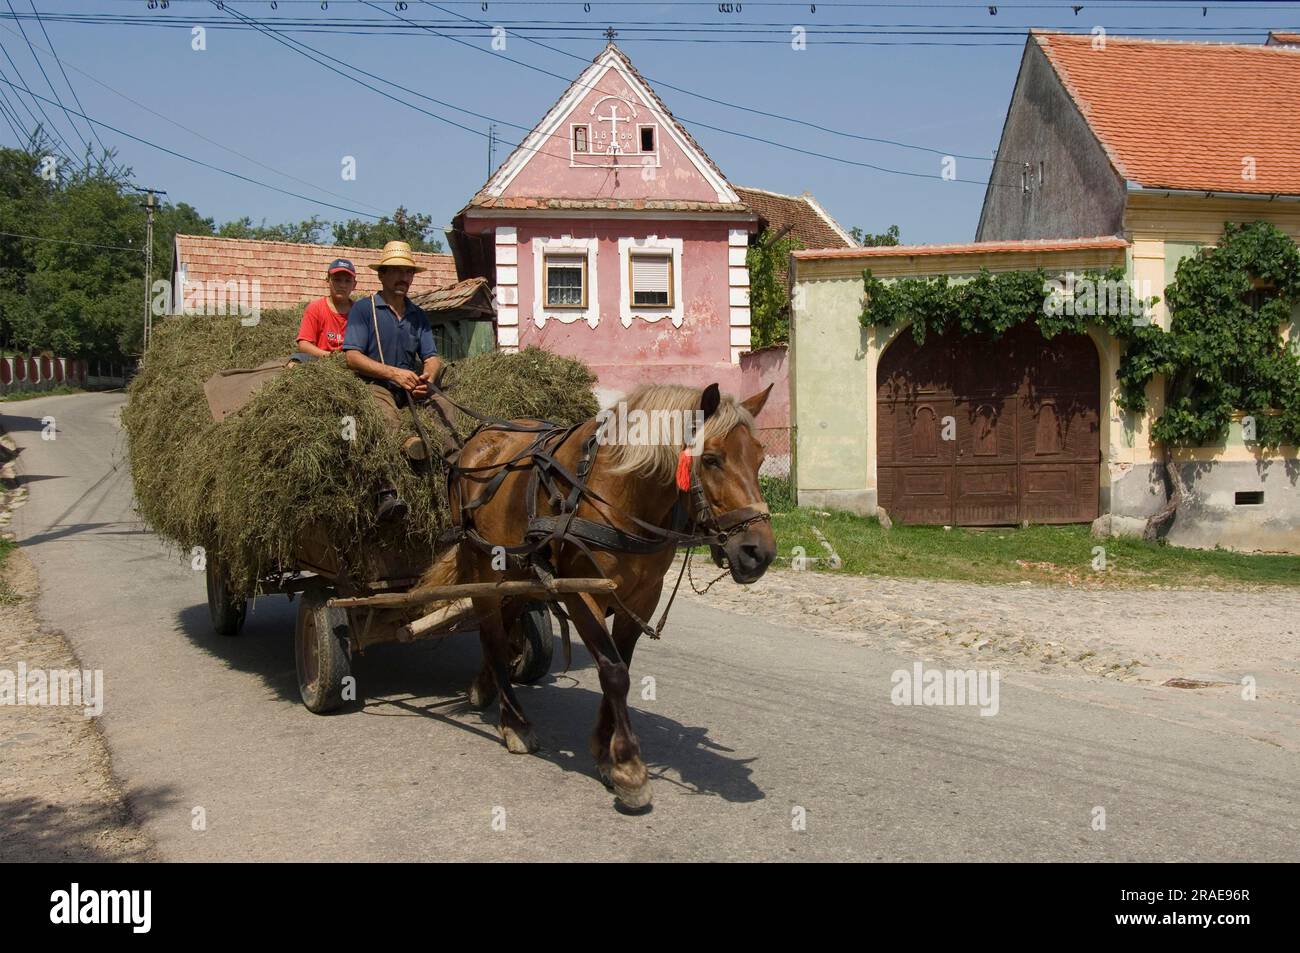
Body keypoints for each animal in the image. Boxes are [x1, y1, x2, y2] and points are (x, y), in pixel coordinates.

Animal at [421, 379, 774, 800]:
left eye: (759, 458)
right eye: (712, 459)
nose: (759, 552)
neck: (620, 495)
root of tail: (476, 441)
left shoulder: (642, 597)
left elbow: (621, 664)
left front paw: (605, 751)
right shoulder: (580, 593)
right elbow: (614, 672)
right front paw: (628, 765)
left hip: (522, 571)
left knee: (507, 626)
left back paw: (484, 686)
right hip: (483, 566)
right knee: (491, 632)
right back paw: (514, 722)